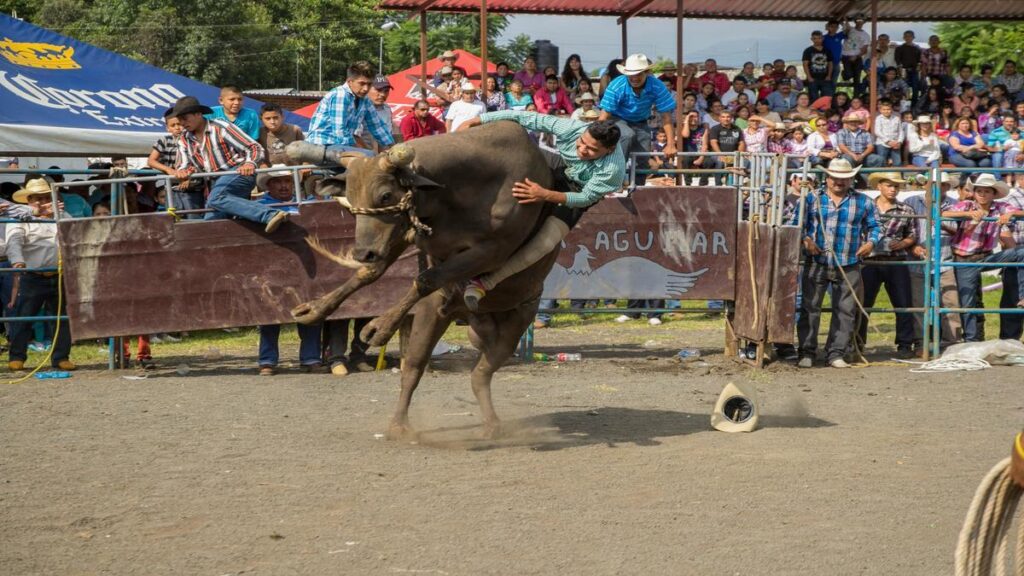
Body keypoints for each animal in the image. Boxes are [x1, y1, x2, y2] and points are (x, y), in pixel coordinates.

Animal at [288, 119, 561, 434]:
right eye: (351, 199)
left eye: (385, 195)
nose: (362, 252)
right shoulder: (404, 231)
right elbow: (372, 273)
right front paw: (316, 308)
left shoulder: (492, 250)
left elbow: (426, 278)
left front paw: (380, 327)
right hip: (435, 317)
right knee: (415, 367)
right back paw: (399, 425)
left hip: (515, 325)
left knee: (480, 373)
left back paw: (493, 424)